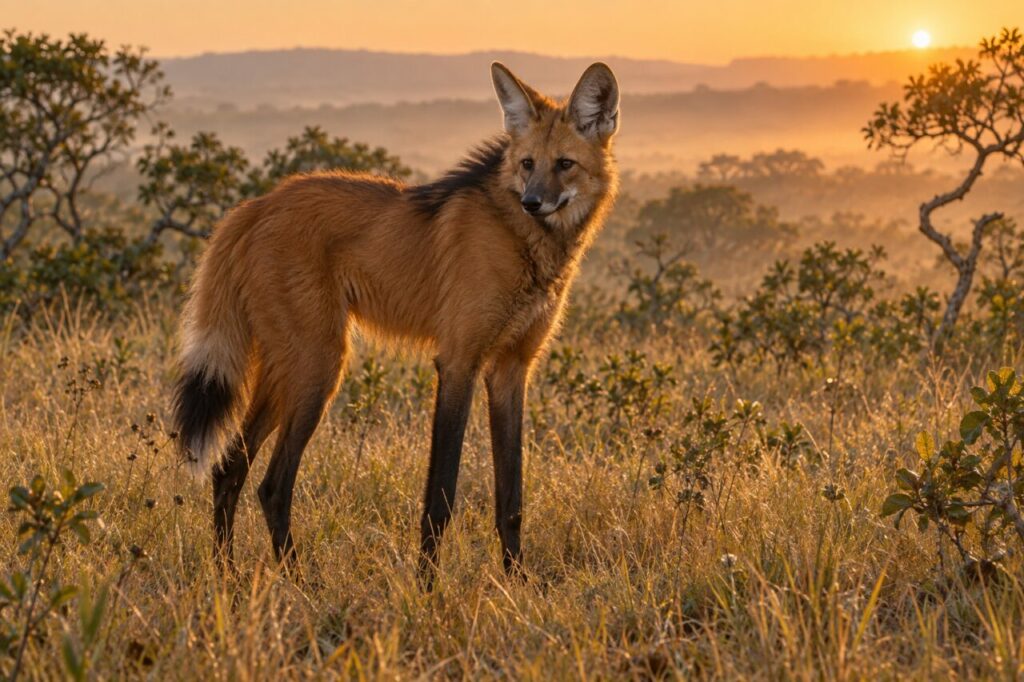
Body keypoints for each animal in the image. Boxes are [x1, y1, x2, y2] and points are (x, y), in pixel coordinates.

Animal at [173, 61, 620, 582]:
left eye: (564, 164)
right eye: (528, 163)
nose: (533, 201)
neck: (524, 241)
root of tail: (255, 206)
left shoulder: (511, 370)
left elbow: (511, 498)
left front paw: (516, 583)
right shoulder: (459, 363)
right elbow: (440, 495)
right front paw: (426, 586)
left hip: (288, 369)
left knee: (229, 470)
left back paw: (226, 575)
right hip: (319, 369)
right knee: (272, 484)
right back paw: (301, 582)